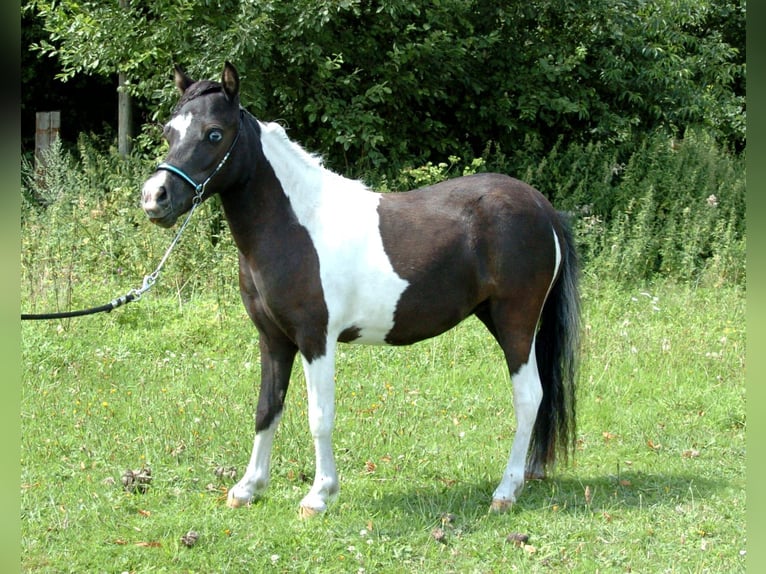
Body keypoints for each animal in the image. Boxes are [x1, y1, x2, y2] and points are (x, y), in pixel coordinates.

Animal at [141, 62, 580, 517]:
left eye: (213, 133)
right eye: (169, 132)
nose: (155, 198)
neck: (295, 224)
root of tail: (541, 206)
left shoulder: (316, 339)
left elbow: (319, 416)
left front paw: (319, 495)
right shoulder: (273, 339)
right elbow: (267, 408)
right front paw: (248, 487)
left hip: (516, 320)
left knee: (528, 396)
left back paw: (505, 491)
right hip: (497, 317)